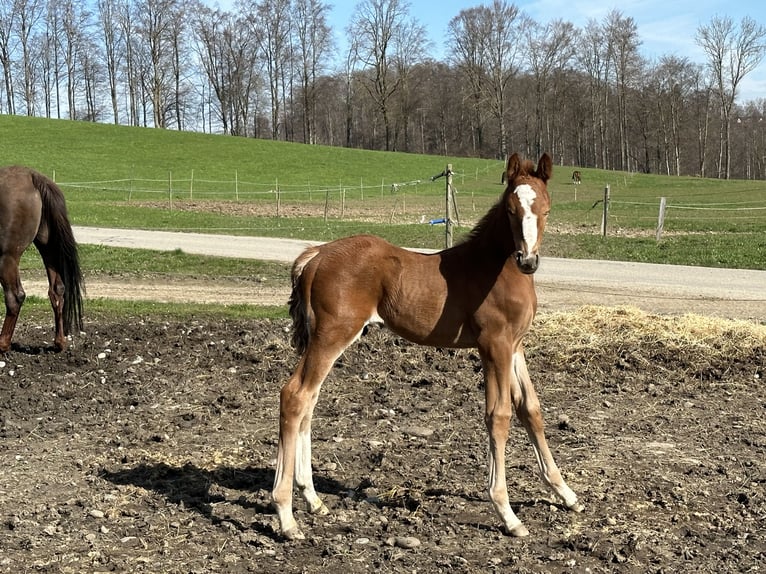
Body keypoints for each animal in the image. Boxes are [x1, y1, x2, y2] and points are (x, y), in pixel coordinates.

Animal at [0, 166, 84, 352]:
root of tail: (32, 177)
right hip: (48, 248)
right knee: (57, 290)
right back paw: (59, 342)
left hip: (7, 256)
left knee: (15, 297)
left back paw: (2, 344)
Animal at [272, 152, 583, 540]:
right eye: (511, 209)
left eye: (547, 210)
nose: (527, 260)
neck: (495, 269)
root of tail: (314, 256)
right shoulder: (493, 345)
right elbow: (498, 416)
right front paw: (507, 513)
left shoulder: (515, 346)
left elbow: (531, 410)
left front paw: (566, 494)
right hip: (332, 334)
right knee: (296, 395)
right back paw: (286, 518)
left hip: (323, 338)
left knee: (309, 401)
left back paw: (313, 500)